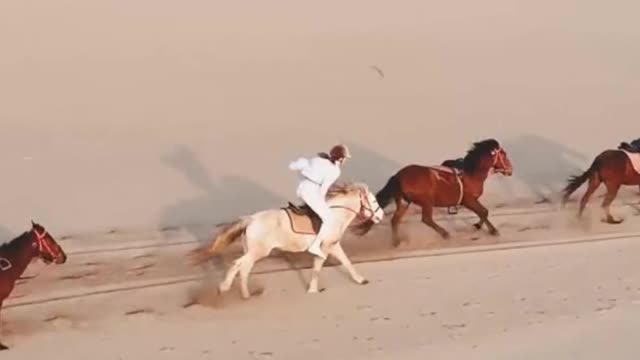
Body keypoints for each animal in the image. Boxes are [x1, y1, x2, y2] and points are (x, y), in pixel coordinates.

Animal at [188, 183, 382, 298]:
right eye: (373, 200)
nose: (380, 216)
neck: (335, 214)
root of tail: (250, 219)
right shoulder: (326, 247)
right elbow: (317, 268)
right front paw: (313, 290)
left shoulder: (333, 246)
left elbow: (346, 262)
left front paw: (360, 280)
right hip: (258, 252)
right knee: (240, 266)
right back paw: (237, 292)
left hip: (251, 251)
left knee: (241, 267)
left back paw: (235, 291)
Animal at [352, 139, 512, 246]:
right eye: (504, 155)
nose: (510, 170)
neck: (470, 174)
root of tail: (398, 176)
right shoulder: (468, 200)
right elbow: (483, 212)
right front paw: (491, 230)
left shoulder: (470, 201)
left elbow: (483, 212)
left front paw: (479, 226)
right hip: (426, 201)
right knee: (426, 219)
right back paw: (445, 234)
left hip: (404, 202)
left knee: (395, 220)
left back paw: (397, 242)